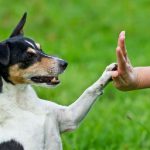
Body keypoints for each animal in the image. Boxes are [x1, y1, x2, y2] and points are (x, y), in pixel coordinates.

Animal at [0, 12, 116, 150]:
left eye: (41, 48)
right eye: (29, 56)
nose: (64, 63)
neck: (20, 101)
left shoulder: (69, 117)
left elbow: (90, 90)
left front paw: (109, 72)